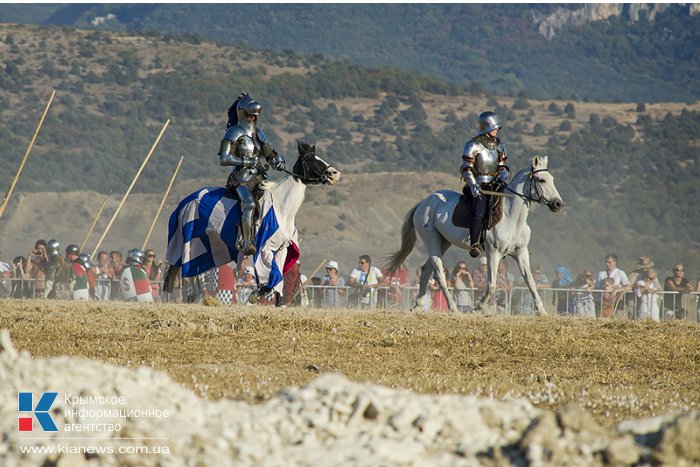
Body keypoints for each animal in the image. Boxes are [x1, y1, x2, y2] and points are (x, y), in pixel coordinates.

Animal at [164, 141, 340, 298]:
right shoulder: (264, 247)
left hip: (209, 244)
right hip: (191, 240)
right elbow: (269, 272)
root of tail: (185, 202)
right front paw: (255, 293)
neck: (281, 207)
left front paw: (261, 293)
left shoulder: (281, 249)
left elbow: (277, 278)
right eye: (310, 159)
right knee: (188, 273)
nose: (335, 174)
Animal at [386, 156, 560, 314]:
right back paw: (453, 308)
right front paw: (478, 307)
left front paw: (541, 311)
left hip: (443, 243)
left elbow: (530, 281)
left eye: (552, 179)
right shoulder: (493, 253)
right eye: (541, 180)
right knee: (439, 275)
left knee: (426, 271)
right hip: (432, 240)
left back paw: (418, 305)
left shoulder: (521, 252)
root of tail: (423, 203)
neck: (512, 217)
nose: (558, 203)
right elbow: (492, 284)